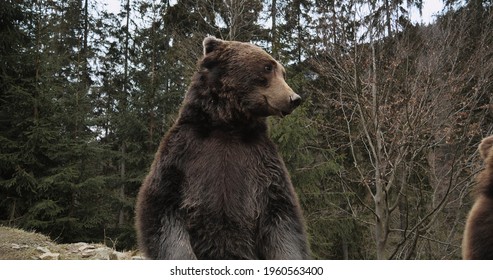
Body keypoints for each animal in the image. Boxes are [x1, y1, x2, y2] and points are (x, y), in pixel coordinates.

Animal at [135, 36, 310, 260]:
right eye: (267, 67)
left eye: (283, 72)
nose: (294, 98)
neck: (228, 125)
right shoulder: (182, 153)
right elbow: (162, 206)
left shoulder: (262, 160)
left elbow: (281, 214)